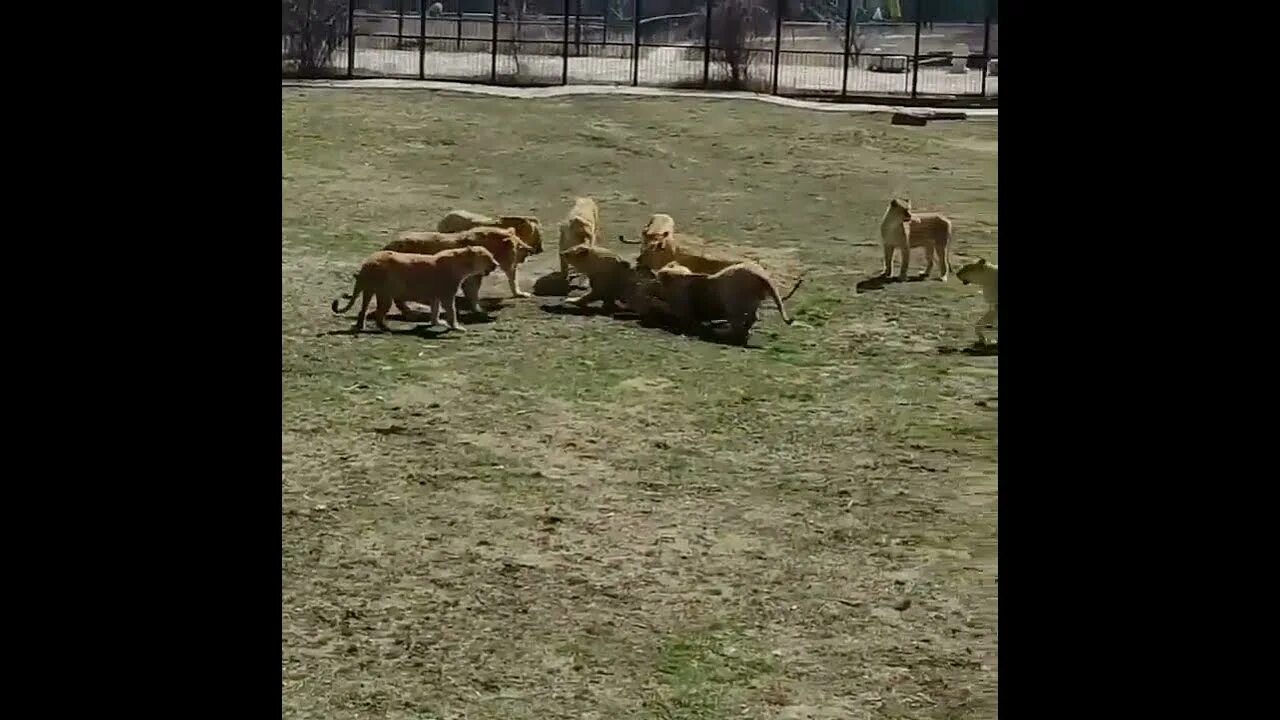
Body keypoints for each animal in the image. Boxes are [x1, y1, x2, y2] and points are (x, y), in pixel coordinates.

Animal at [332, 244, 496, 333]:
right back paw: (386, 329)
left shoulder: (436, 295)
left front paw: (436, 323)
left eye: (492, 256)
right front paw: (456, 327)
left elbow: (435, 310)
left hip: (371, 290)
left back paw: (361, 326)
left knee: (363, 309)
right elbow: (451, 310)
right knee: (379, 313)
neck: (463, 264)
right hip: (385, 293)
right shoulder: (447, 294)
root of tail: (367, 262)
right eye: (488, 257)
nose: (495, 265)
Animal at [384, 222, 535, 307]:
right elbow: (473, 292)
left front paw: (520, 294)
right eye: (519, 245)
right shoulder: (472, 276)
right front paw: (479, 307)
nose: (530, 250)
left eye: (520, 241)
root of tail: (388, 245)